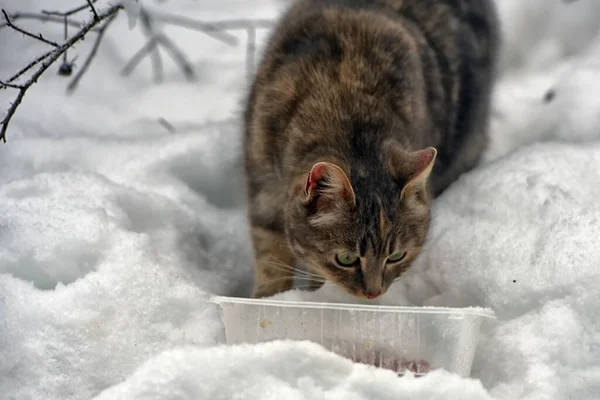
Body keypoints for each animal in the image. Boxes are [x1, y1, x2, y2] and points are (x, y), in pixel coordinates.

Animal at [241, 0, 500, 298]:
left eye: (396, 256)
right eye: (346, 258)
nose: (374, 293)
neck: (346, 105)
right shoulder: (263, 192)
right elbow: (271, 259)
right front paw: (270, 298)